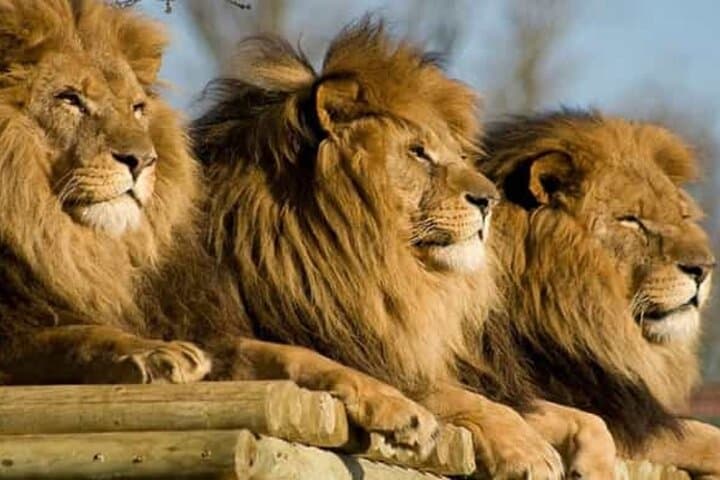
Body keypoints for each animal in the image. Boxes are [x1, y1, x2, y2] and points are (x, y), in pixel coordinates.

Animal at [0, 0, 446, 454]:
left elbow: (285, 354)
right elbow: (76, 337)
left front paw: (401, 407)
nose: (143, 160)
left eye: (137, 108)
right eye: (69, 99)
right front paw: (156, 353)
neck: (67, 242)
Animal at [193, 21, 617, 478]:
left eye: (459, 155)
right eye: (417, 151)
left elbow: (588, 420)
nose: (490, 200)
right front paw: (527, 450)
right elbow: (454, 398)